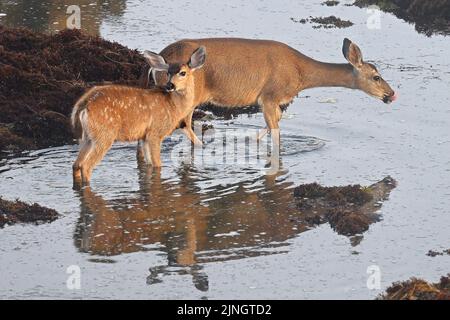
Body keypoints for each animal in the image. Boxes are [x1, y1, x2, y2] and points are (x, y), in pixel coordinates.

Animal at [71, 46, 207, 184]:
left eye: (183, 72)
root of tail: (84, 105)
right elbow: (158, 165)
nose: (170, 85)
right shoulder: (155, 132)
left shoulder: (144, 136)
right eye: (168, 73)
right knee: (86, 166)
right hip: (104, 134)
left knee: (76, 165)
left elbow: (149, 165)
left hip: (88, 137)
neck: (173, 106)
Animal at [142, 37, 398, 149]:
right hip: (187, 95)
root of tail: (157, 62)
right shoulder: (270, 95)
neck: (301, 74)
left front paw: (250, 140)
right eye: (376, 76)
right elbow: (276, 132)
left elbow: (270, 125)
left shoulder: (275, 101)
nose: (392, 94)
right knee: (183, 124)